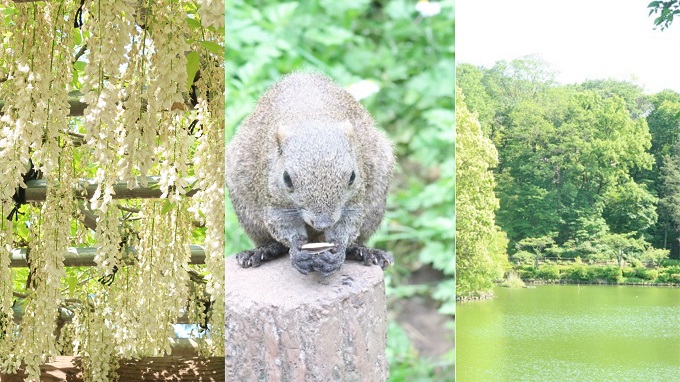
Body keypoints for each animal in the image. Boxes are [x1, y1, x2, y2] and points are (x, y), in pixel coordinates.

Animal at [224, 72, 394, 274]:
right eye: (287, 179)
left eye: (352, 177)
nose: (323, 223)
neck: (311, 118)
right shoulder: (272, 196)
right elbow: (281, 223)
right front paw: (297, 249)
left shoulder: (355, 199)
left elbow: (349, 223)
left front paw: (339, 249)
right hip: (248, 212)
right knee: (271, 241)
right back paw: (262, 251)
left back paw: (362, 251)